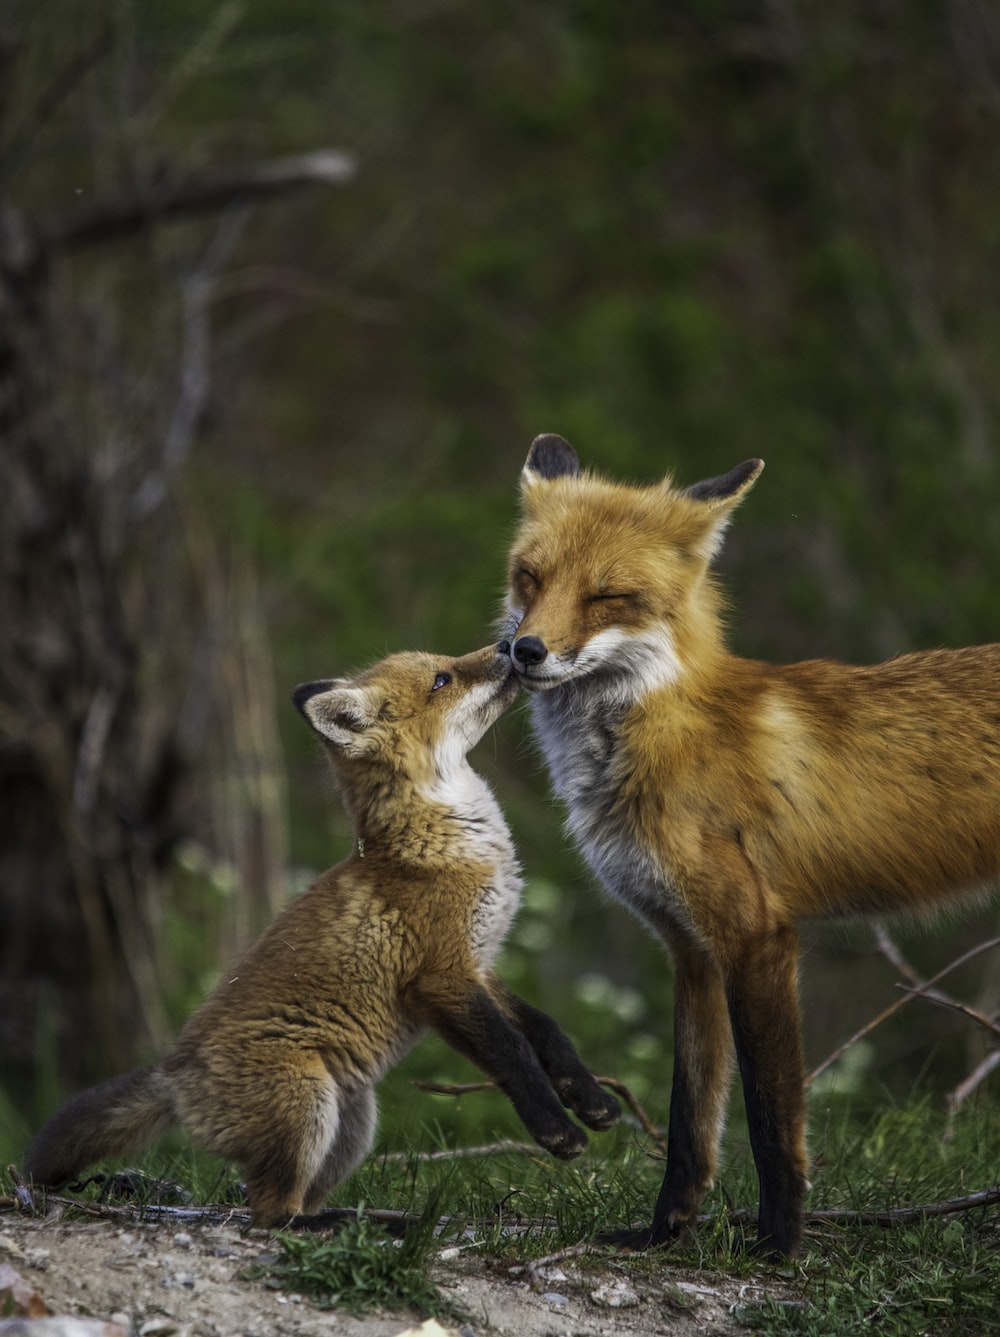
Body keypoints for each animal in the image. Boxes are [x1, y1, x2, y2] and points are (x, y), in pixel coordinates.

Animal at [24, 642, 620, 1227]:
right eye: (442, 680)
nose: (510, 645)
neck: (442, 844)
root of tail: (175, 1075)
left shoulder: (479, 962)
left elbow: (545, 1029)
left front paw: (590, 1098)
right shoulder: (440, 978)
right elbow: (512, 1051)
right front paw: (556, 1130)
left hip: (353, 1121)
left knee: (293, 1201)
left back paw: (371, 1221)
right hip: (307, 1103)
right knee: (271, 1215)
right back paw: (352, 1226)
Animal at [502, 432, 1000, 1259]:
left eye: (608, 595)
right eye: (530, 577)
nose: (524, 650)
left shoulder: (756, 932)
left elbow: (771, 1114)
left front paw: (781, 1241)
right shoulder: (689, 946)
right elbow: (690, 1119)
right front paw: (663, 1232)